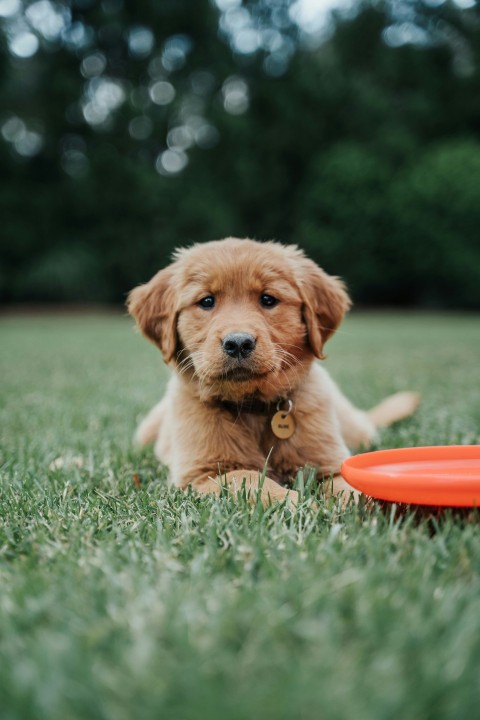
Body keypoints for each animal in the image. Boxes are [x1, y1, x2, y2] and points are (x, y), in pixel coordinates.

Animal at [128, 238, 420, 506]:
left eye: (268, 299)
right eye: (207, 301)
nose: (238, 343)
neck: (253, 408)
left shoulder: (328, 463)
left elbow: (347, 485)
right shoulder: (204, 472)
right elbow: (249, 478)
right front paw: (297, 504)